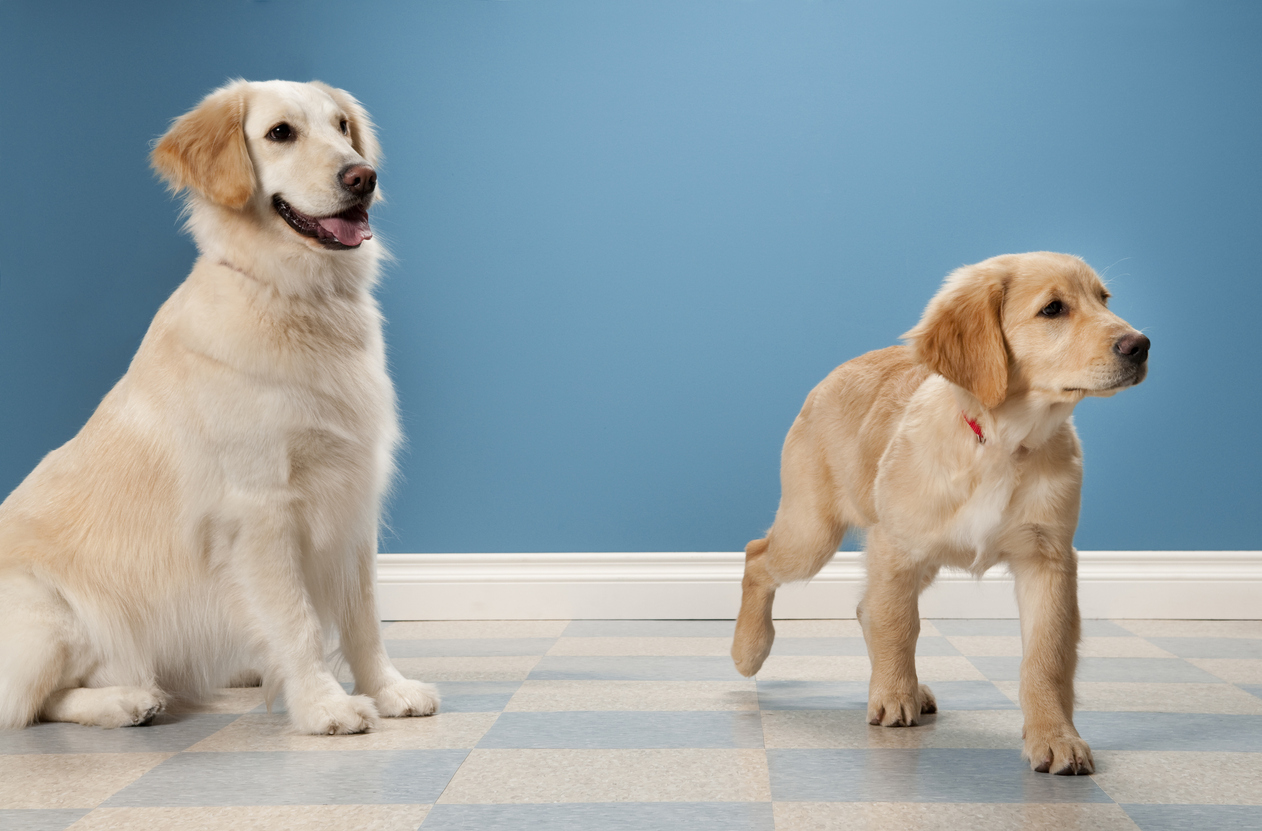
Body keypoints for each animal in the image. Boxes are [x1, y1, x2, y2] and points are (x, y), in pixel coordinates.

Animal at [0, 80, 439, 727]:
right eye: (280, 133)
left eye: (341, 126)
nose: (364, 176)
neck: (293, 295)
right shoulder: (261, 510)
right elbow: (298, 623)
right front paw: (323, 706)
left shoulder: (354, 494)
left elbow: (365, 618)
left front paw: (389, 689)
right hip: (52, 613)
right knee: (31, 702)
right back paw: (129, 699)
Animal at [731, 252, 1155, 767]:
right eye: (1053, 309)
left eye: (1104, 299)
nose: (1140, 345)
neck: (1001, 442)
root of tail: (837, 371)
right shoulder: (897, 545)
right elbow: (899, 623)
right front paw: (894, 696)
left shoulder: (1048, 557)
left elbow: (1046, 656)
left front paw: (1055, 736)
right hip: (812, 533)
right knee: (758, 556)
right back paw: (751, 650)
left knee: (864, 605)